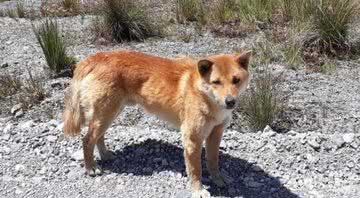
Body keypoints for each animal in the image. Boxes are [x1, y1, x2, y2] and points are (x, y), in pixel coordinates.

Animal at [63, 49, 252, 196]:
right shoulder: (192, 139)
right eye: (216, 82)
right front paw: (198, 190)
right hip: (105, 114)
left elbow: (213, 161)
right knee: (87, 140)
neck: (205, 96)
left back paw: (105, 155)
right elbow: (195, 170)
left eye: (236, 80)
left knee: (98, 137)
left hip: (109, 114)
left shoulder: (216, 134)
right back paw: (91, 167)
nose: (230, 101)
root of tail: (97, 56)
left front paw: (218, 179)